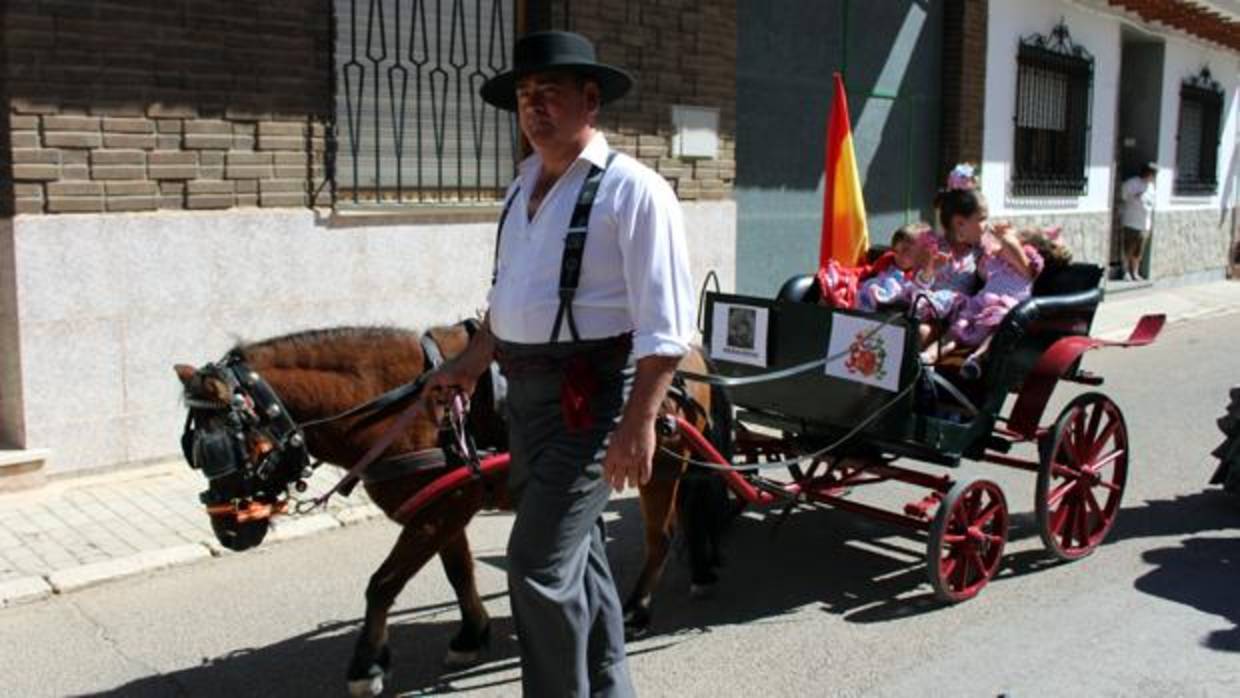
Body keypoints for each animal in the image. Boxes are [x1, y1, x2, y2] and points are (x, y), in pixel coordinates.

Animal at [169, 324, 724, 694]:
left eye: (229, 446)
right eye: (194, 450)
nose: (229, 533)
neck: (402, 409)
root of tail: (691, 349)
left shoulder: (438, 512)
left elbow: (383, 584)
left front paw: (367, 665)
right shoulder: (446, 508)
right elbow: (459, 572)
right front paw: (471, 634)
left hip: (661, 468)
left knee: (659, 538)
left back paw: (638, 608)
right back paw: (701, 570)